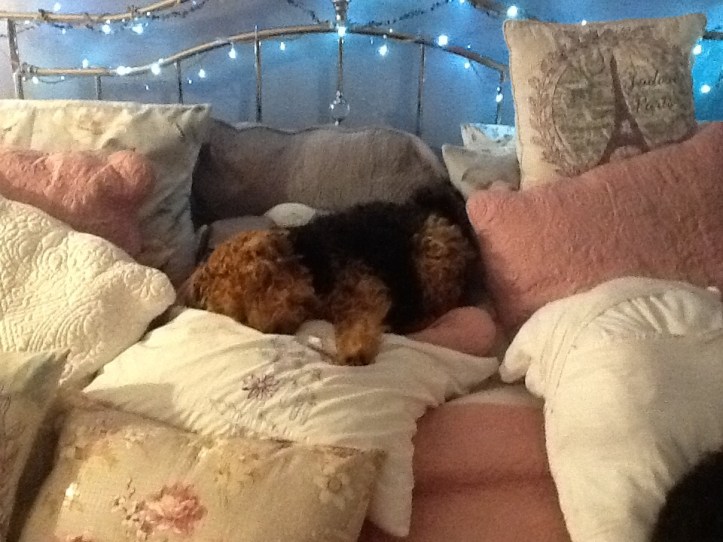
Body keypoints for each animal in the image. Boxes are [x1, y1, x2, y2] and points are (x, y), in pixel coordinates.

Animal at [179, 184, 481, 366]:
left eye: (263, 280)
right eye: (238, 315)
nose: (276, 328)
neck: (311, 264)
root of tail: (435, 211)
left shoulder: (360, 288)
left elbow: (356, 320)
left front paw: (354, 352)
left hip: (432, 260)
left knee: (442, 302)